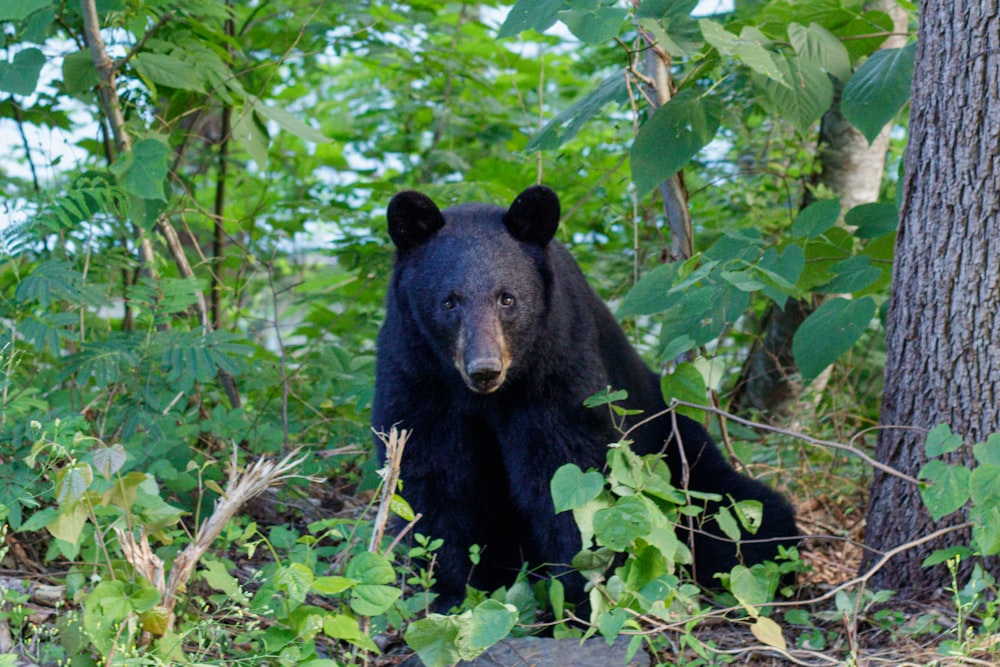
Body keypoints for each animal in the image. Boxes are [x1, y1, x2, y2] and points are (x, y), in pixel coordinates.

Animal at [374, 185, 796, 608]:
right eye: (449, 301)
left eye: (507, 298)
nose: (485, 368)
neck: (489, 396)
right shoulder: (417, 377)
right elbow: (433, 478)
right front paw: (450, 592)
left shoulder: (557, 365)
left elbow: (567, 470)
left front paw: (578, 590)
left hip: (680, 452)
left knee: (742, 512)